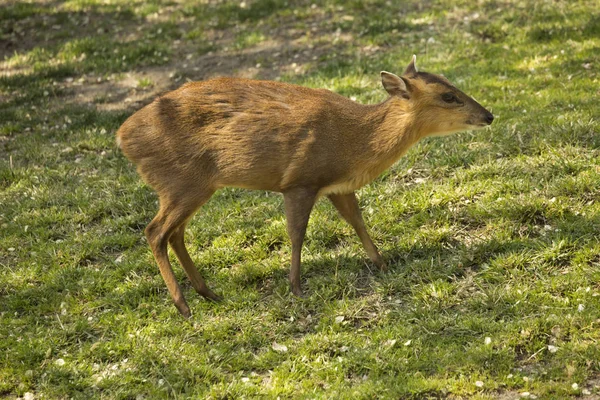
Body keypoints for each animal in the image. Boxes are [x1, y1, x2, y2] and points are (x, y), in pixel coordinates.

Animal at [116, 56, 492, 318]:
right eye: (448, 96)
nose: (488, 116)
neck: (355, 143)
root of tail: (123, 138)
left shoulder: (337, 186)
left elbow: (357, 222)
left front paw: (383, 263)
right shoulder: (300, 180)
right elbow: (297, 234)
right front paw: (296, 287)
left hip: (189, 187)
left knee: (175, 234)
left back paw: (209, 293)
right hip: (182, 182)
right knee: (155, 231)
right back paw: (183, 305)